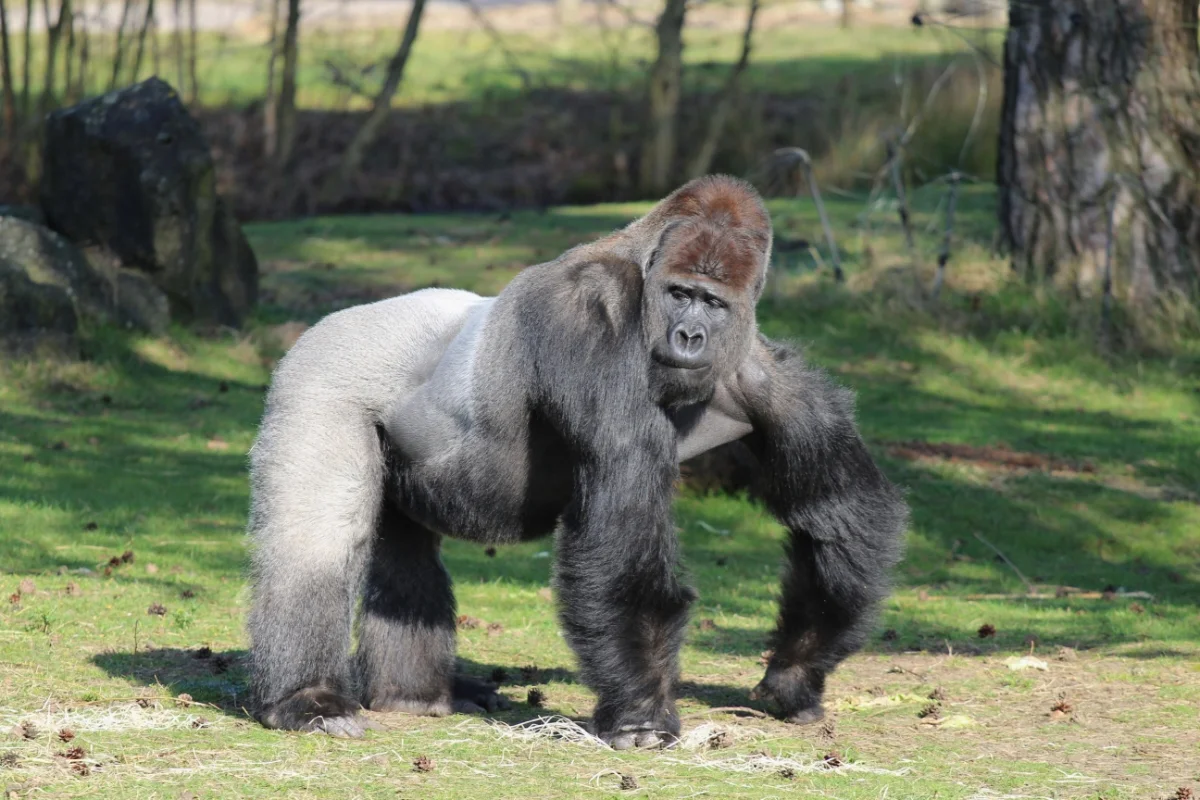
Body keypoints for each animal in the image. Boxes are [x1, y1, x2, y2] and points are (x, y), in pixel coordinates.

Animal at [245, 174, 907, 747]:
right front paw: (641, 713)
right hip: (322, 368)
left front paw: (794, 674)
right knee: (318, 537)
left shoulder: (769, 378)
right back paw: (308, 698)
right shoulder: (592, 310)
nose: (690, 337)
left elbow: (839, 514)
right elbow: (621, 530)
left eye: (713, 304)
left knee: (407, 558)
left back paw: (412, 695)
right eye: (680, 294)